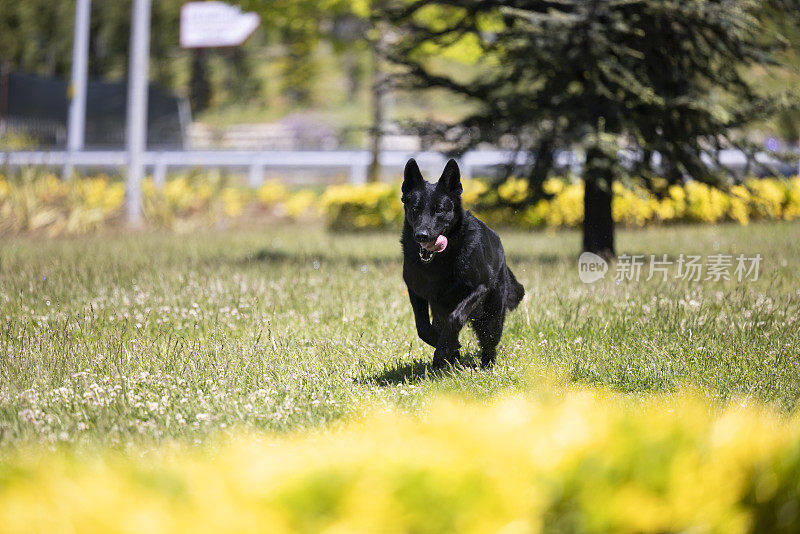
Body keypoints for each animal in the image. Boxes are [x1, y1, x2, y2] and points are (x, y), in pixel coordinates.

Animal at [400, 159, 524, 368]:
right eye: (415, 208)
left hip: (492, 316)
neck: (440, 261)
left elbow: (455, 317)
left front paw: (444, 348)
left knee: (489, 342)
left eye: (439, 210)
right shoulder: (416, 291)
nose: (422, 236)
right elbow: (423, 327)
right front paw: (446, 346)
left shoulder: (479, 288)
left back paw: (486, 365)